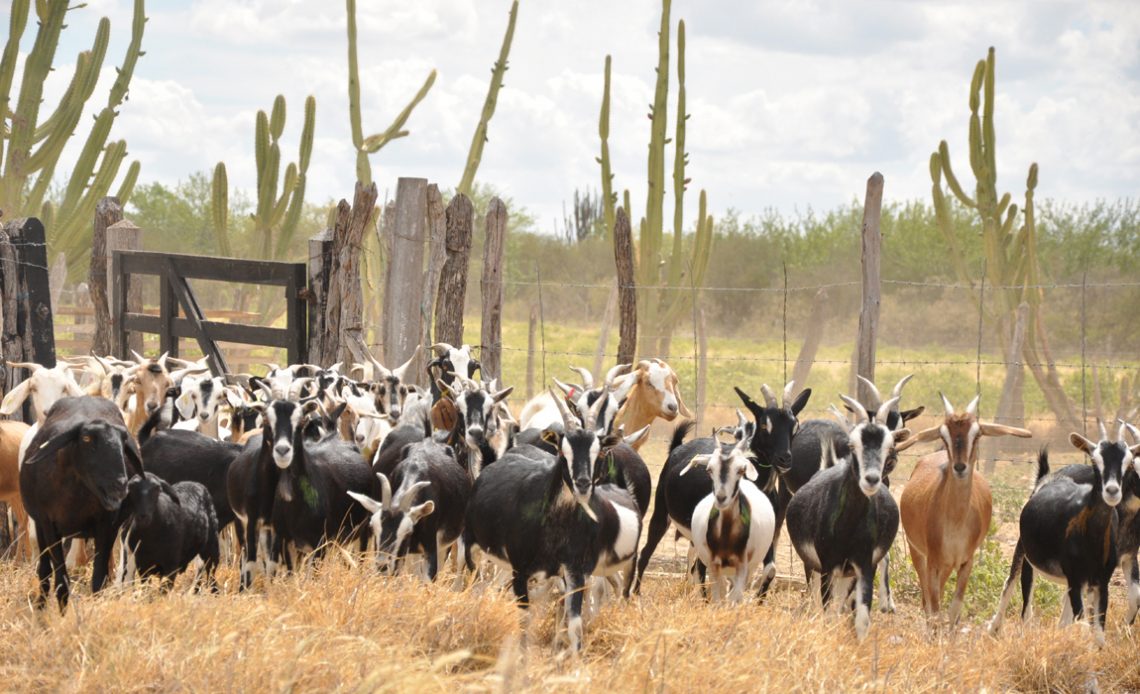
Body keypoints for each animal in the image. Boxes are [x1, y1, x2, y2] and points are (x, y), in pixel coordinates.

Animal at [21, 394, 144, 606]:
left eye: (123, 441)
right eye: (86, 438)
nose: (120, 484)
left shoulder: (106, 526)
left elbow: (98, 579)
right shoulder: (49, 524)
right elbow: (61, 582)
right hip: (39, 524)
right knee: (44, 569)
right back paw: (40, 605)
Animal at [784, 392, 907, 642]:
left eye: (889, 445)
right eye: (853, 444)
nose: (871, 479)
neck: (847, 529)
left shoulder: (863, 564)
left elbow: (862, 618)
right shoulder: (828, 564)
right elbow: (827, 613)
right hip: (818, 567)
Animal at [898, 392, 1035, 624]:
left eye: (977, 434)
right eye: (943, 435)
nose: (960, 467)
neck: (956, 521)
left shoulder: (965, 563)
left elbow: (954, 611)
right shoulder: (933, 561)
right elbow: (934, 610)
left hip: (946, 565)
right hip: (918, 553)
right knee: (927, 601)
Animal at [984, 419, 1135, 647]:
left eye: (1127, 462)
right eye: (1095, 460)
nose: (1112, 491)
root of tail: (1047, 478)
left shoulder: (1102, 580)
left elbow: (1098, 631)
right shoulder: (1075, 578)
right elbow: (1083, 625)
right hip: (1025, 554)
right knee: (1017, 594)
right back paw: (998, 629)